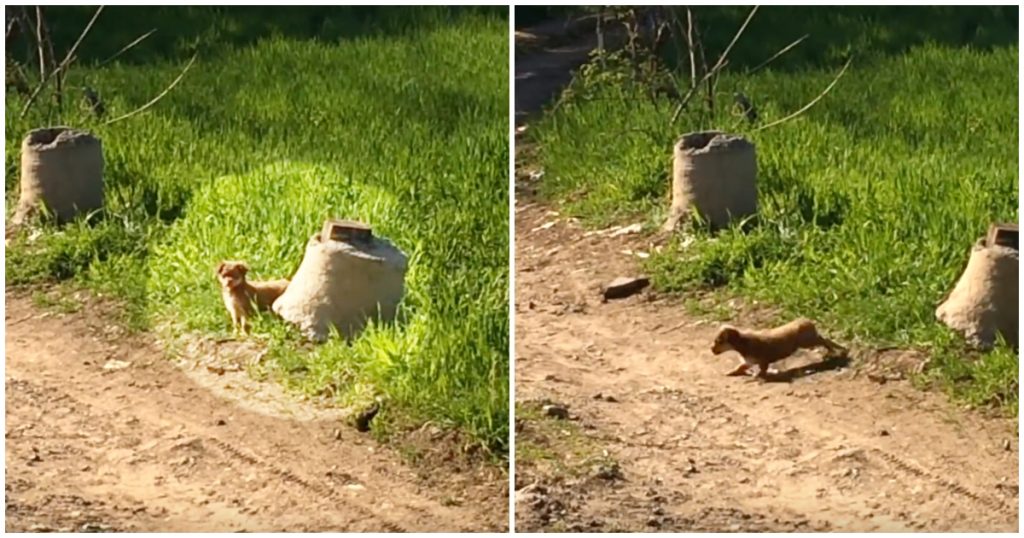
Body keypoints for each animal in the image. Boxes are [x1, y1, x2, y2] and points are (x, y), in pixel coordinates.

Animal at [712, 319, 847, 377]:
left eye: (718, 341)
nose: (711, 349)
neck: (743, 344)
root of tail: (807, 321)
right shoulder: (749, 361)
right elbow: (740, 366)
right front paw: (730, 372)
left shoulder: (762, 358)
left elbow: (763, 369)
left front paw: (758, 375)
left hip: (807, 341)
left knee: (825, 339)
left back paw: (836, 350)